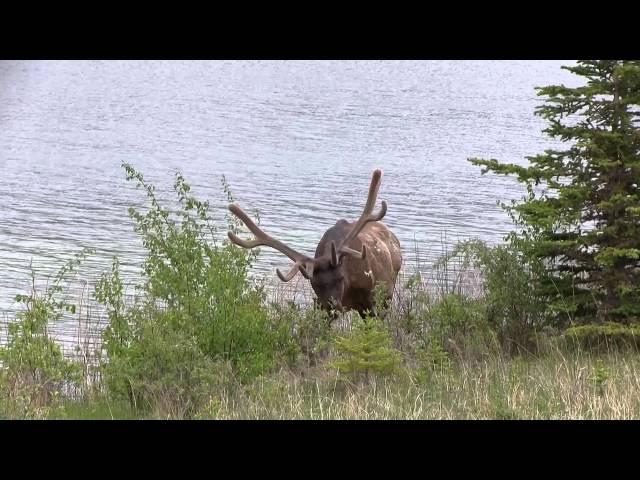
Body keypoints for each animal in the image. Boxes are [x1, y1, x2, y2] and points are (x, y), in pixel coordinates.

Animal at [228, 171, 402, 316]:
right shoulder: (320, 305)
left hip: (387, 292)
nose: (333, 306)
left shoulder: (371, 301)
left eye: (340, 278)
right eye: (315, 284)